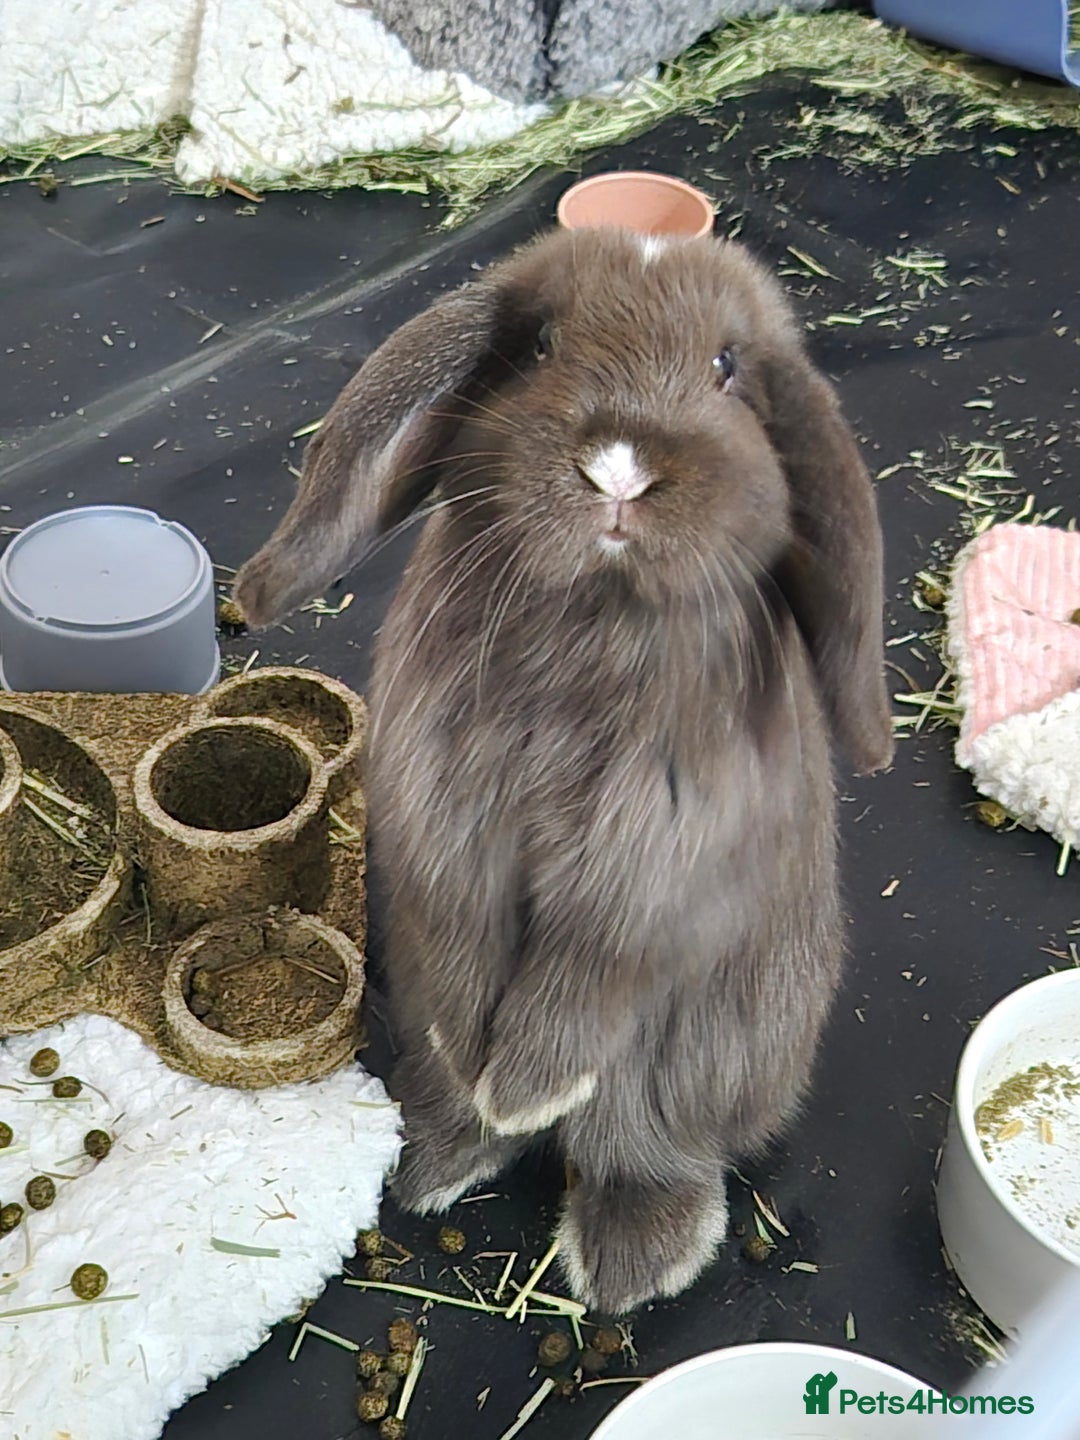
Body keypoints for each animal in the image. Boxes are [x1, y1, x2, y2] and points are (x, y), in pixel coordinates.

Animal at [233, 226, 893, 1315]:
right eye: (540, 345)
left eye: (727, 366)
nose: (618, 469)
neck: (598, 611)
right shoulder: (444, 816)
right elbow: (464, 931)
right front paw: (489, 1075)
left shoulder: (656, 857)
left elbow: (597, 956)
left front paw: (526, 1085)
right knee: (458, 1091)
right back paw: (434, 1158)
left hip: (693, 1065)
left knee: (646, 1150)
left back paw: (626, 1260)